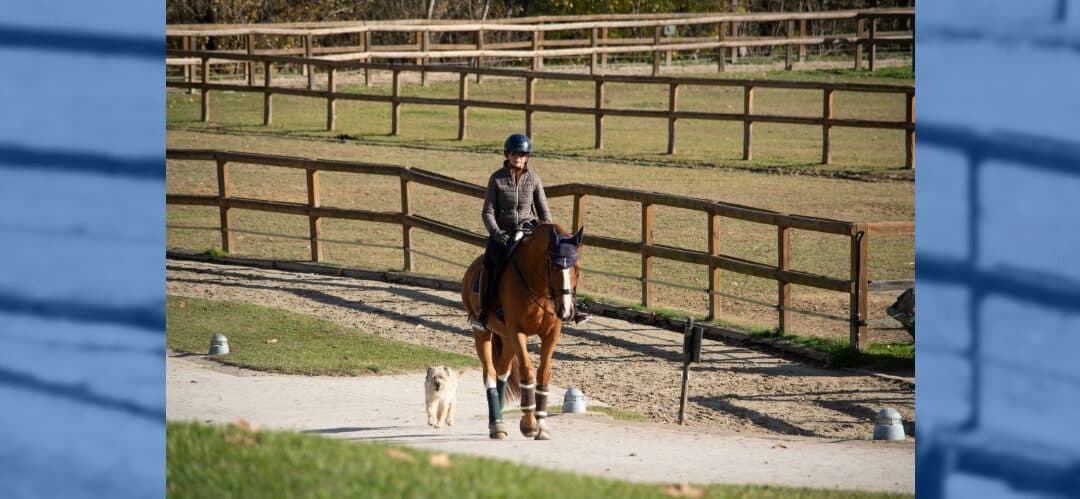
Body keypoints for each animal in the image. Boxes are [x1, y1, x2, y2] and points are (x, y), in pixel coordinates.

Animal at [462, 224, 587, 438]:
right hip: (483, 333)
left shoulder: (551, 334)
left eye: (576, 268)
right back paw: (496, 424)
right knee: (490, 373)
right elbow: (527, 372)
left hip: (506, 339)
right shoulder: (517, 332)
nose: (566, 310)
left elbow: (544, 373)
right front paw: (529, 425)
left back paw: (499, 418)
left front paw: (542, 425)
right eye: (554, 266)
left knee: (502, 373)